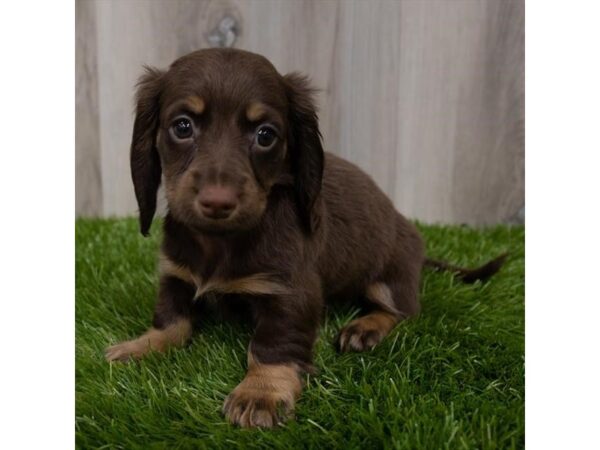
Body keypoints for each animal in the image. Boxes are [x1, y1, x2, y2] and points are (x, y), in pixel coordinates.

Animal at [105, 49, 504, 428]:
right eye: (182, 126)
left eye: (265, 135)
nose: (218, 202)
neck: (220, 242)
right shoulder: (176, 274)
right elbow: (171, 320)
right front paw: (142, 346)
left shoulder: (290, 291)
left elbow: (272, 345)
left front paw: (260, 392)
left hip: (389, 277)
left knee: (402, 311)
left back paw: (364, 328)